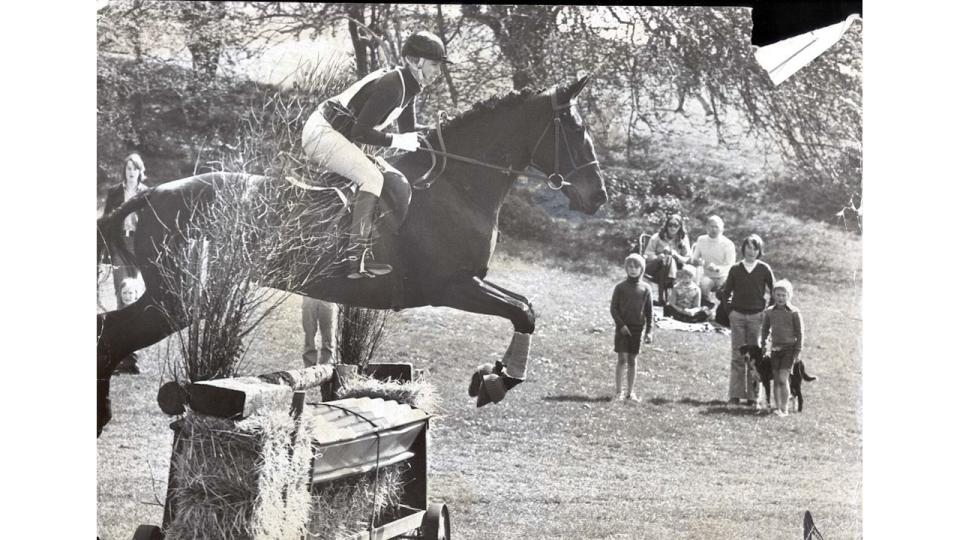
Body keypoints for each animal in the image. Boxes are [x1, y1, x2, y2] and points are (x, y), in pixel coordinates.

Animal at [97, 78, 608, 436]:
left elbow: (525, 307)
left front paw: (491, 376)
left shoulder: (469, 282)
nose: (598, 197)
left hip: (180, 295)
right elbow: (523, 311)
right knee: (115, 332)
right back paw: (100, 416)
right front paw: (498, 382)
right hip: (181, 296)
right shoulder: (452, 286)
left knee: (111, 329)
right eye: (576, 130)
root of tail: (152, 193)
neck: (457, 184)